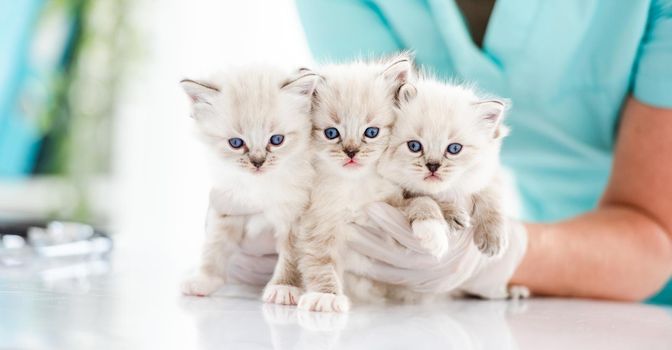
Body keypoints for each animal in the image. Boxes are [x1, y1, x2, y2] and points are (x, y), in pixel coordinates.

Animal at [181, 66, 320, 304]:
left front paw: (284, 287)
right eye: (236, 143)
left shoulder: (295, 218)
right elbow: (213, 248)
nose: (257, 162)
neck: (259, 187)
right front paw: (204, 280)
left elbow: (291, 257)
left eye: (276, 140)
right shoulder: (226, 207)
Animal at [296, 55, 414, 314]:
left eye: (371, 132)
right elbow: (322, 264)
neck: (355, 185)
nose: (351, 152)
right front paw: (326, 296)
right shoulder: (320, 223)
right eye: (331, 133)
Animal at [378, 76, 510, 262]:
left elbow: (491, 197)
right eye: (414, 146)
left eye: (454, 149)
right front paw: (451, 215)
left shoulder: (489, 174)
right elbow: (424, 198)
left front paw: (492, 238)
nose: (433, 166)